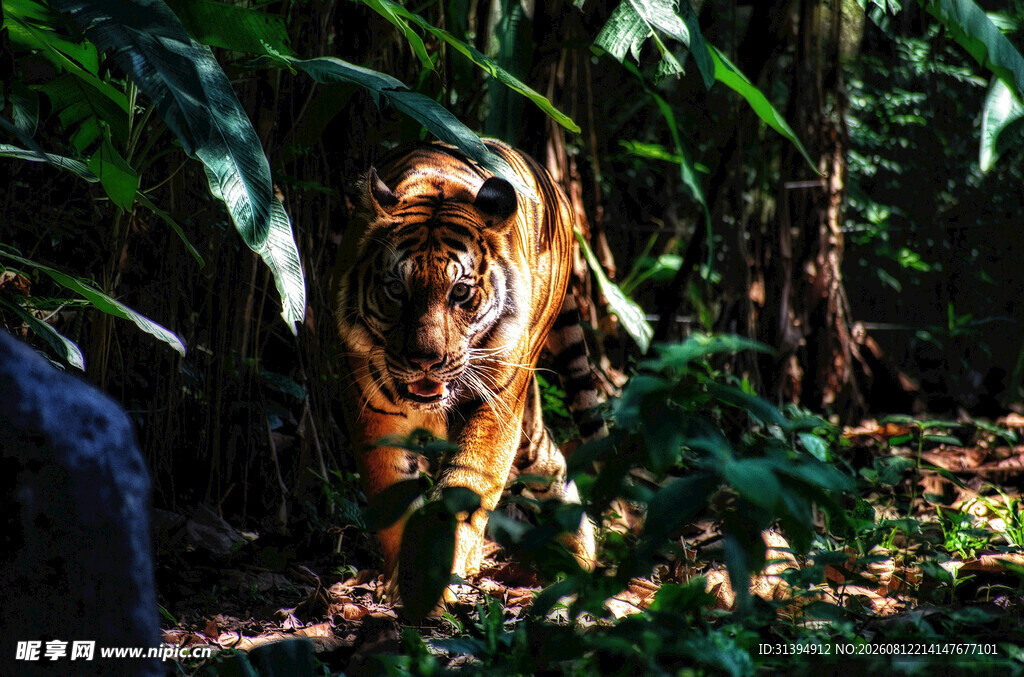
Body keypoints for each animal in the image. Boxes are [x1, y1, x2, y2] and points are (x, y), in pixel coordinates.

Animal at [335, 139, 606, 589]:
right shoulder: (372, 416)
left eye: (459, 292)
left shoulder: (494, 410)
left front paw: (432, 577)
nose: (426, 360)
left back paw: (579, 560)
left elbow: (465, 488)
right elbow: (392, 496)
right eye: (396, 289)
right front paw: (407, 581)